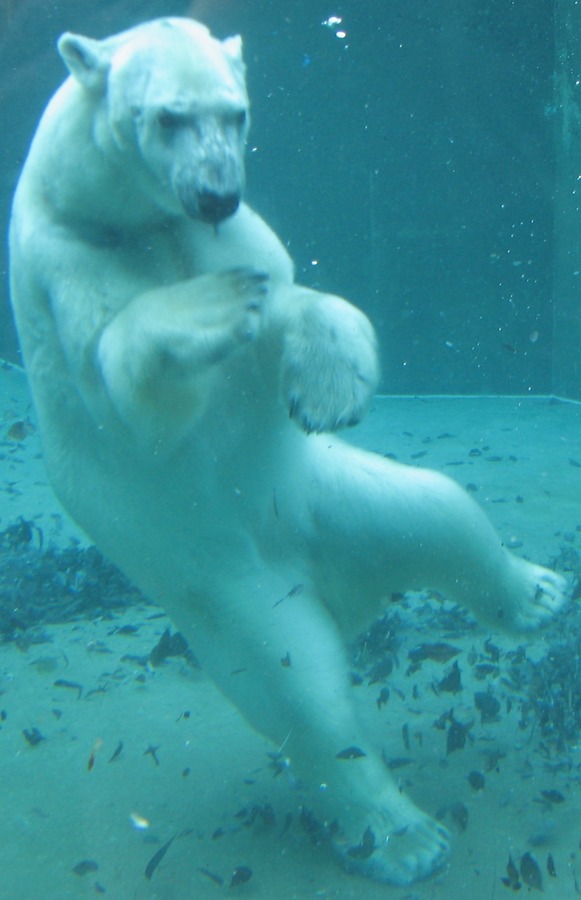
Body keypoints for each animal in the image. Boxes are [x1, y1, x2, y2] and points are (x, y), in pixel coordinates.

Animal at [10, 15, 568, 884]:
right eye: (166, 117)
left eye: (234, 111)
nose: (216, 191)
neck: (129, 215)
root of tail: (339, 588)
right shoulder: (67, 262)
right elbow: (131, 390)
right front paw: (211, 308)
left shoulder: (227, 234)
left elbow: (293, 296)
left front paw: (329, 383)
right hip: (232, 595)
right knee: (301, 693)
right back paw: (402, 835)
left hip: (326, 497)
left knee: (437, 512)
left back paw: (536, 592)